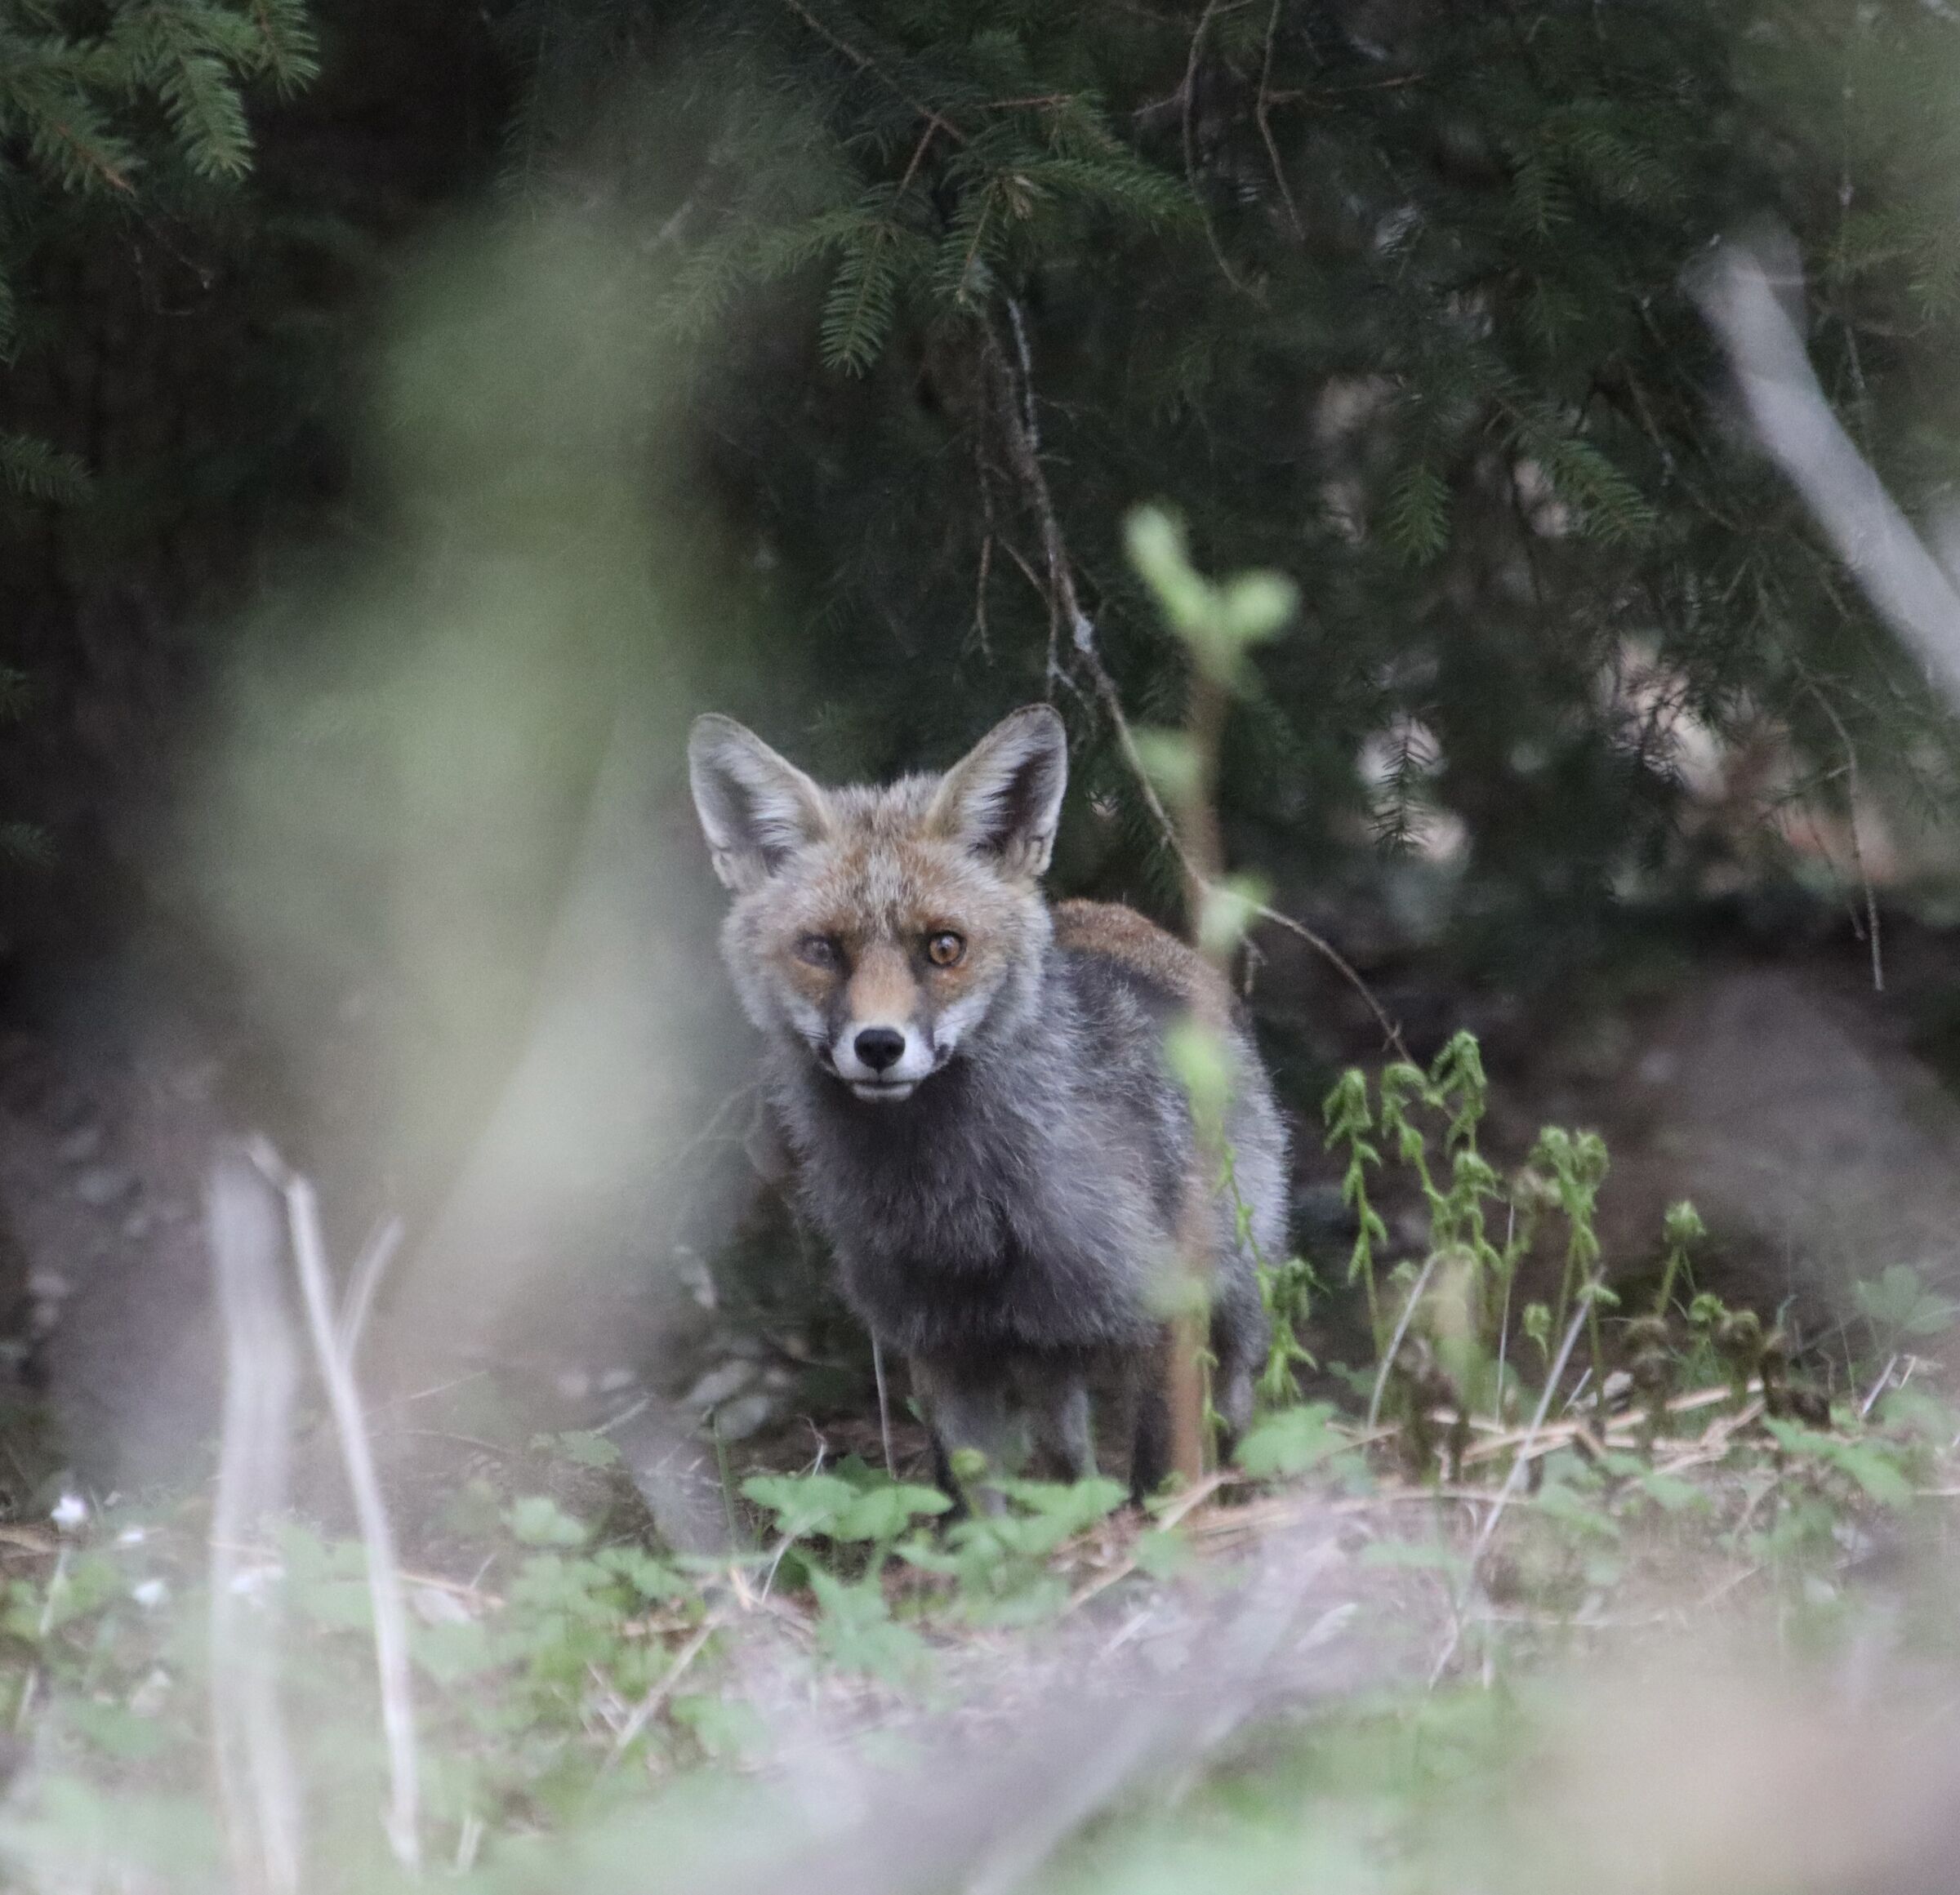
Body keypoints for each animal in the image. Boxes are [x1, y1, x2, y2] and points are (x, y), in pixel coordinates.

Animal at [686, 702, 1287, 1500]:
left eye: (945, 947)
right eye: (821, 950)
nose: (879, 1045)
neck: (961, 1209)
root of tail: (1120, 915)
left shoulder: (1166, 1312)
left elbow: (1161, 1480)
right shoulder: (941, 1346)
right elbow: (976, 1507)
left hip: (1236, 1299)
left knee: (1238, 1411)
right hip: (1046, 1353)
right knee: (1067, 1466)